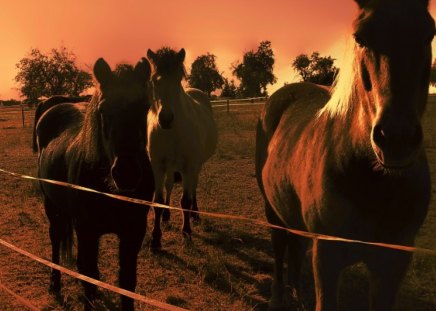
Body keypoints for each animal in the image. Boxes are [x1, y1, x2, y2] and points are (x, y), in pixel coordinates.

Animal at [35, 58, 155, 310]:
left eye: (144, 107)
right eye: (103, 110)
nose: (127, 173)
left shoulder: (133, 232)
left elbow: (126, 282)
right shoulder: (87, 231)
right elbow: (88, 277)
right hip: (52, 207)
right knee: (55, 240)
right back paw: (54, 284)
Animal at [146, 48, 217, 249]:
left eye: (178, 79)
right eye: (154, 80)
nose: (166, 119)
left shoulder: (189, 165)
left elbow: (185, 200)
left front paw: (186, 231)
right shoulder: (157, 166)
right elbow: (158, 201)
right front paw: (156, 238)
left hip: (195, 167)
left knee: (193, 187)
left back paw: (195, 214)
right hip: (171, 167)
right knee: (169, 186)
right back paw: (167, 215)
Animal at [258, 1, 434, 310]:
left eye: (428, 35)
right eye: (360, 38)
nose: (396, 139)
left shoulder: (393, 263)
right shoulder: (327, 257)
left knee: (295, 250)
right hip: (273, 210)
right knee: (280, 249)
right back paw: (278, 297)